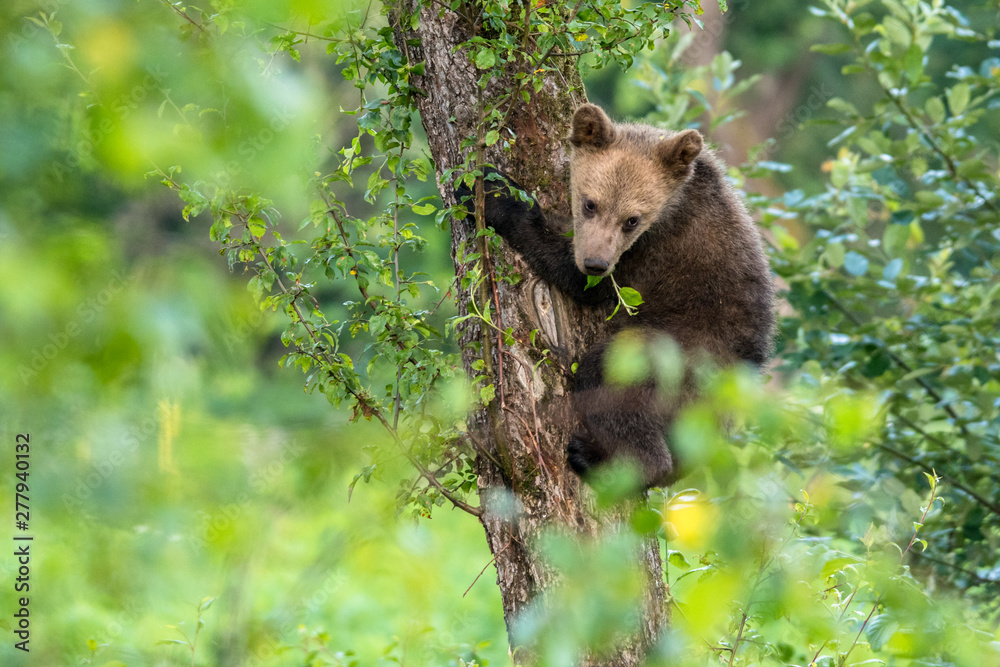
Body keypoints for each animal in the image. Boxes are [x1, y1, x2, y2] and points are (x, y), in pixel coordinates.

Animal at [461, 103, 774, 489]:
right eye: (590, 204)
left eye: (632, 219)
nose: (595, 262)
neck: (676, 202)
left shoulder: (650, 251)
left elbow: (573, 275)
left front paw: (494, 194)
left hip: (676, 355)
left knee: (606, 378)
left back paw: (598, 459)